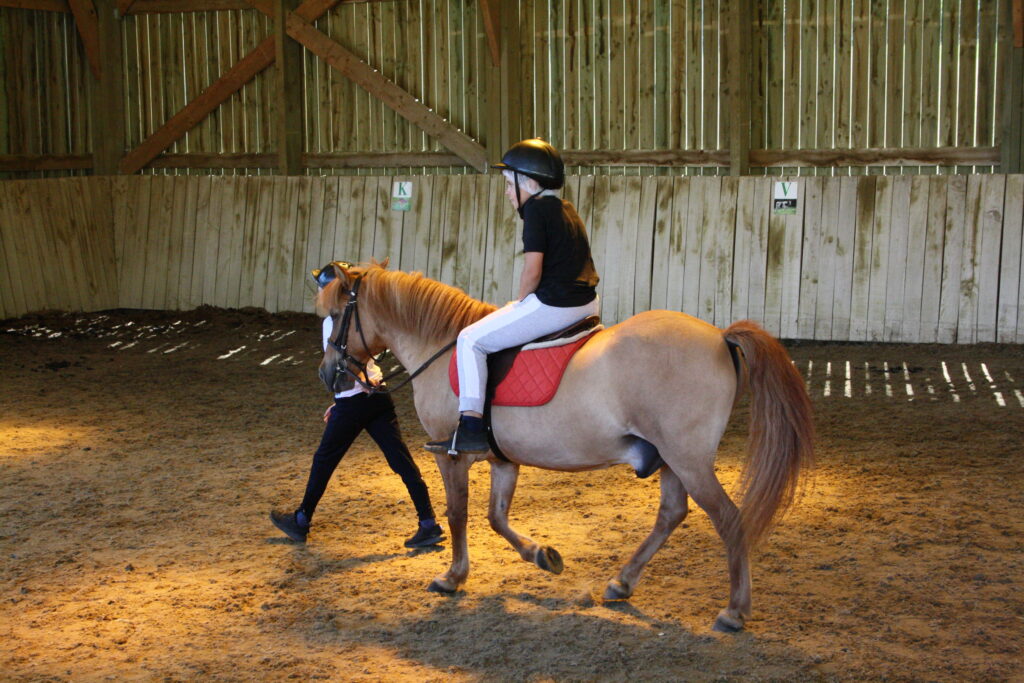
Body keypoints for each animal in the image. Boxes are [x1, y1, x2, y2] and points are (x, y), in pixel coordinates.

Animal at [316, 261, 813, 632]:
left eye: (337, 316)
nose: (328, 375)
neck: (439, 348)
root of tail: (719, 335)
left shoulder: (450, 455)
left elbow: (458, 513)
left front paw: (453, 577)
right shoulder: (503, 460)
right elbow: (496, 517)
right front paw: (543, 556)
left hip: (689, 460)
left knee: (729, 519)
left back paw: (734, 611)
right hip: (673, 459)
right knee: (672, 513)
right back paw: (621, 583)